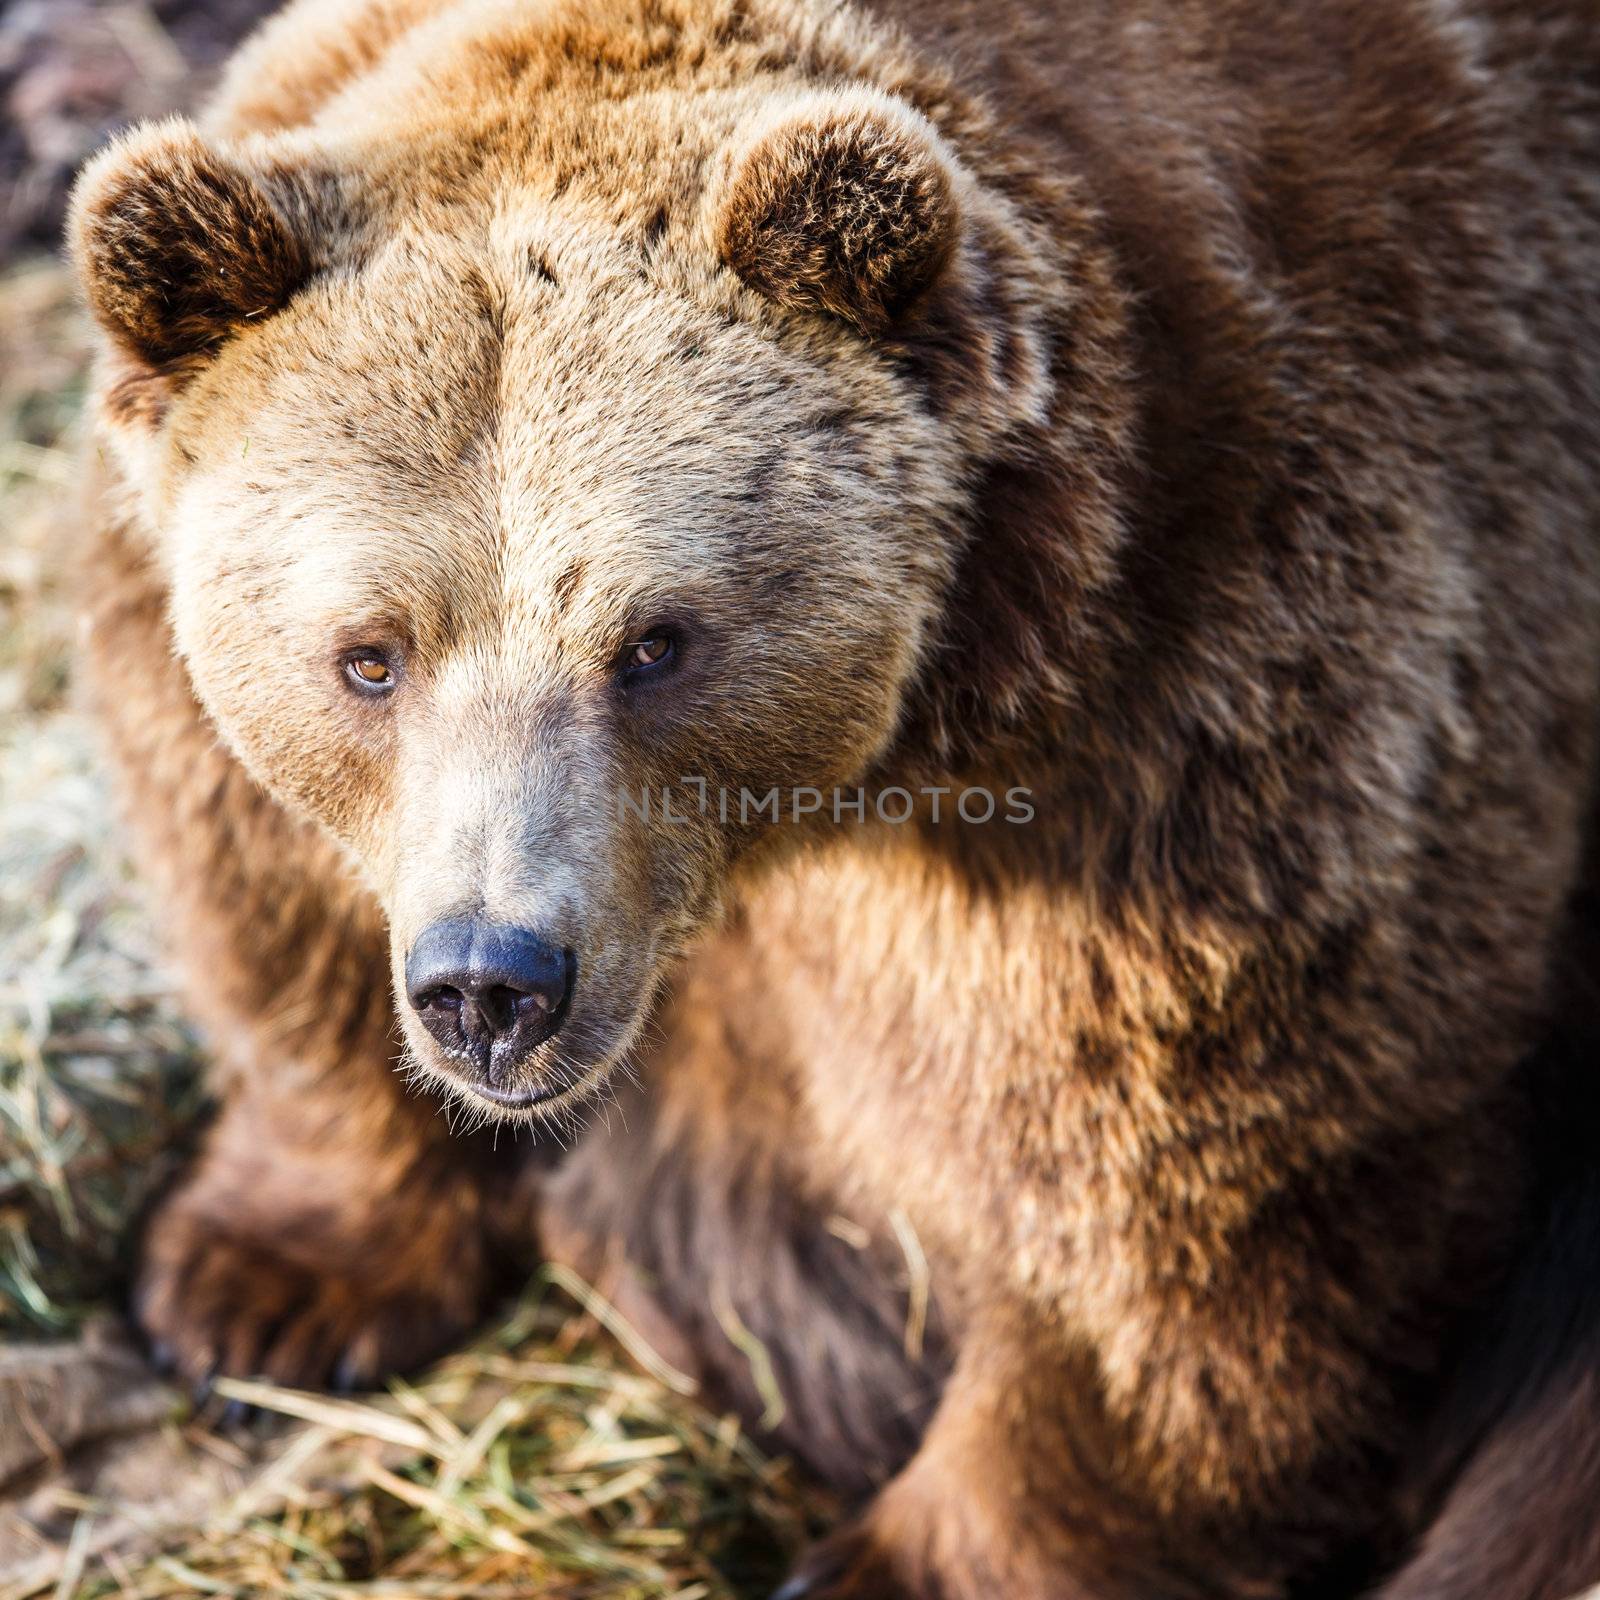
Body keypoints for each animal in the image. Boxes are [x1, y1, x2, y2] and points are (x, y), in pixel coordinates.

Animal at [65, 0, 1600, 1593]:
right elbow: (263, 891)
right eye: (369, 656)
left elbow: (1199, 1185)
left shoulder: (1210, 707)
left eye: (655, 642)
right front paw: (252, 1286)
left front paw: (918, 1545)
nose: (495, 984)